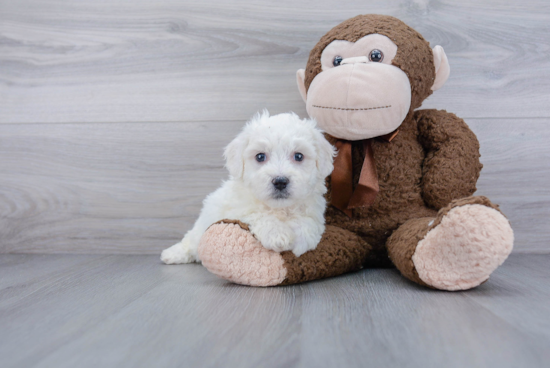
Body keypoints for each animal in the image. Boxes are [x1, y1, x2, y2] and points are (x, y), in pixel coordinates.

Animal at [161, 110, 336, 264]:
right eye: (260, 156)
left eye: (299, 156)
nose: (280, 181)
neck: (279, 208)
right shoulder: (237, 211)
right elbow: (258, 214)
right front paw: (278, 236)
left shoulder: (314, 210)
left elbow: (307, 222)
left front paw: (301, 242)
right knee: (191, 241)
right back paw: (171, 254)